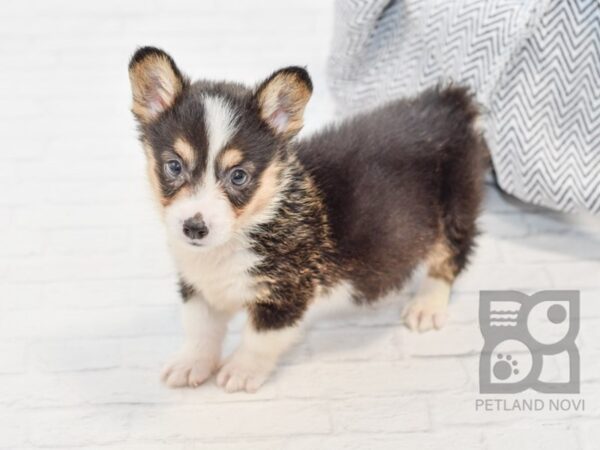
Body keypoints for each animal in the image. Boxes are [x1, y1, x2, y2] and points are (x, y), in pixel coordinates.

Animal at [127, 44, 488, 390]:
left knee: (451, 257)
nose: (194, 228)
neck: (252, 224)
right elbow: (199, 329)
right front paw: (191, 364)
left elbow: (258, 339)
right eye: (174, 166)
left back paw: (427, 306)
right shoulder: (199, 287)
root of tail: (448, 105)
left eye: (239, 176)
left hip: (457, 207)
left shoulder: (287, 295)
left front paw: (240, 372)